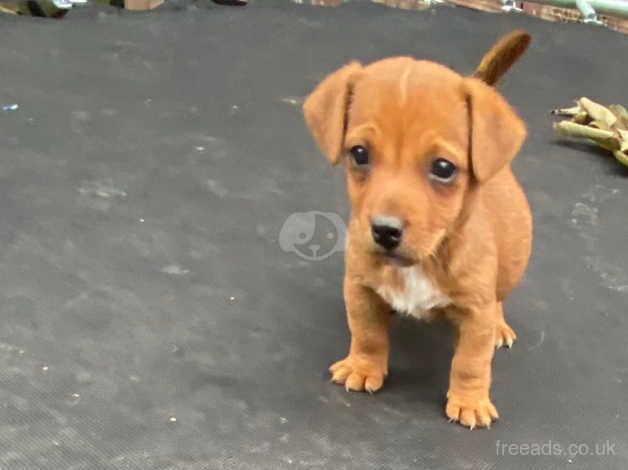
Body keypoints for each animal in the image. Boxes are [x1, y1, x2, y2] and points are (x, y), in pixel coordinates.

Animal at [304, 31, 536, 428]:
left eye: (443, 168)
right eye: (359, 154)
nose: (384, 231)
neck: (427, 258)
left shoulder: (476, 313)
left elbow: (471, 362)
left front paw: (470, 400)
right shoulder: (359, 287)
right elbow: (367, 333)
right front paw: (362, 366)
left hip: (510, 266)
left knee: (499, 300)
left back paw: (500, 327)